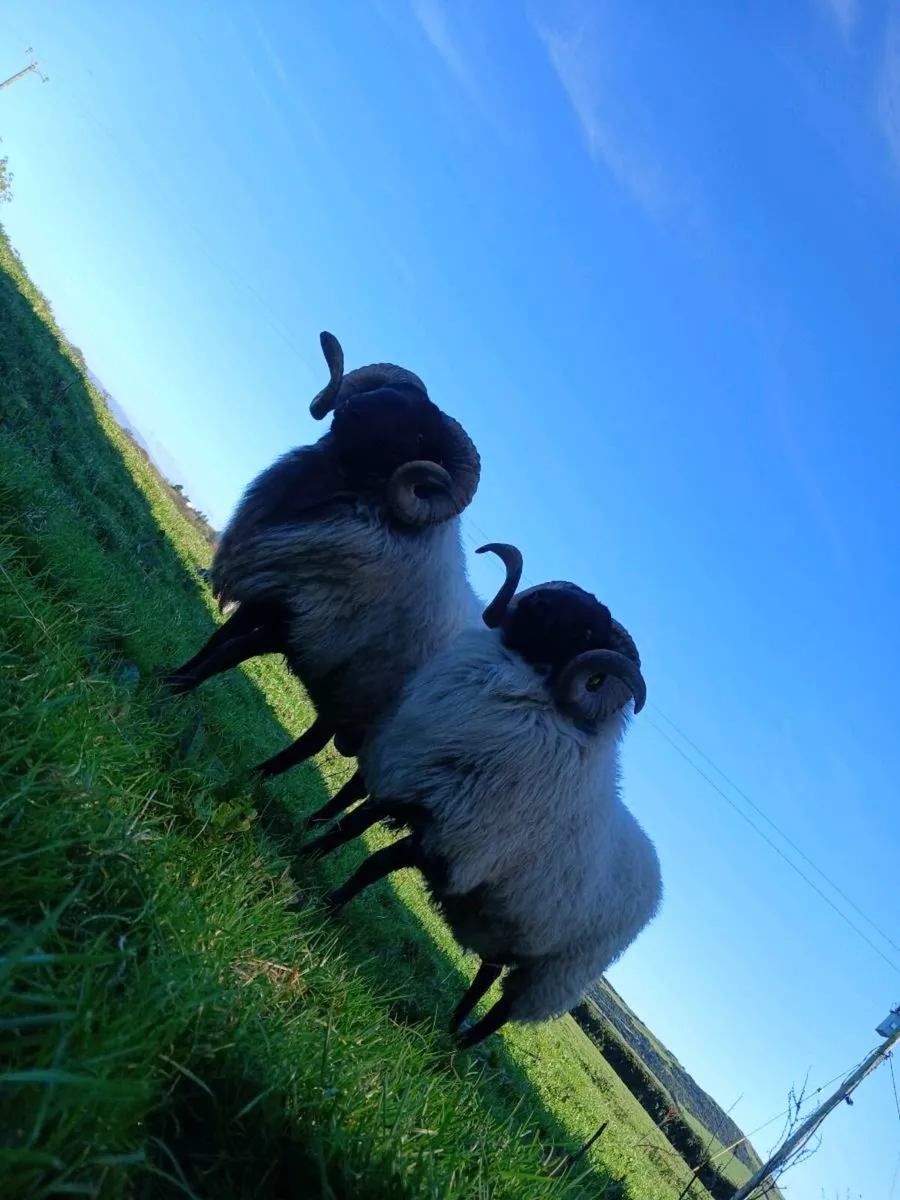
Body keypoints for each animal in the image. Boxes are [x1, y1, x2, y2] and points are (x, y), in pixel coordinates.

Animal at [165, 331, 483, 790]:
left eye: (422, 436)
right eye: (389, 392)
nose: (352, 411)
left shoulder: (300, 626)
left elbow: (230, 654)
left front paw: (173, 688)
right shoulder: (268, 594)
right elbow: (218, 640)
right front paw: (171, 676)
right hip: (345, 701)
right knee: (312, 743)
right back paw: (255, 779)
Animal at [298, 544, 662, 1048]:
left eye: (589, 630)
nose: (530, 603)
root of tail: (657, 882)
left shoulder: (455, 840)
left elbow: (374, 863)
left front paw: (327, 904)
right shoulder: (412, 786)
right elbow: (348, 827)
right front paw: (302, 854)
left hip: (555, 971)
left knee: (504, 1010)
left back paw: (462, 1048)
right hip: (505, 929)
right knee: (487, 975)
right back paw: (452, 1031)